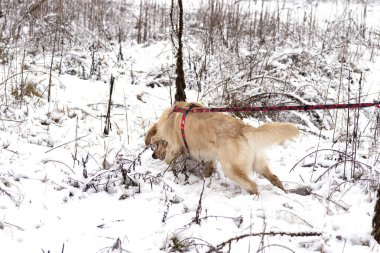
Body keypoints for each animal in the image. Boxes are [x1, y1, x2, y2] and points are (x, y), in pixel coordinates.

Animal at [147, 102, 298, 195]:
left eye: (157, 144)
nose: (153, 156)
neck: (169, 117)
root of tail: (243, 128)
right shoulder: (209, 155)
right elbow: (209, 167)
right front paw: (206, 178)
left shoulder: (174, 147)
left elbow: (167, 160)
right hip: (259, 164)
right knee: (275, 178)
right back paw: (285, 193)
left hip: (231, 168)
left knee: (253, 185)